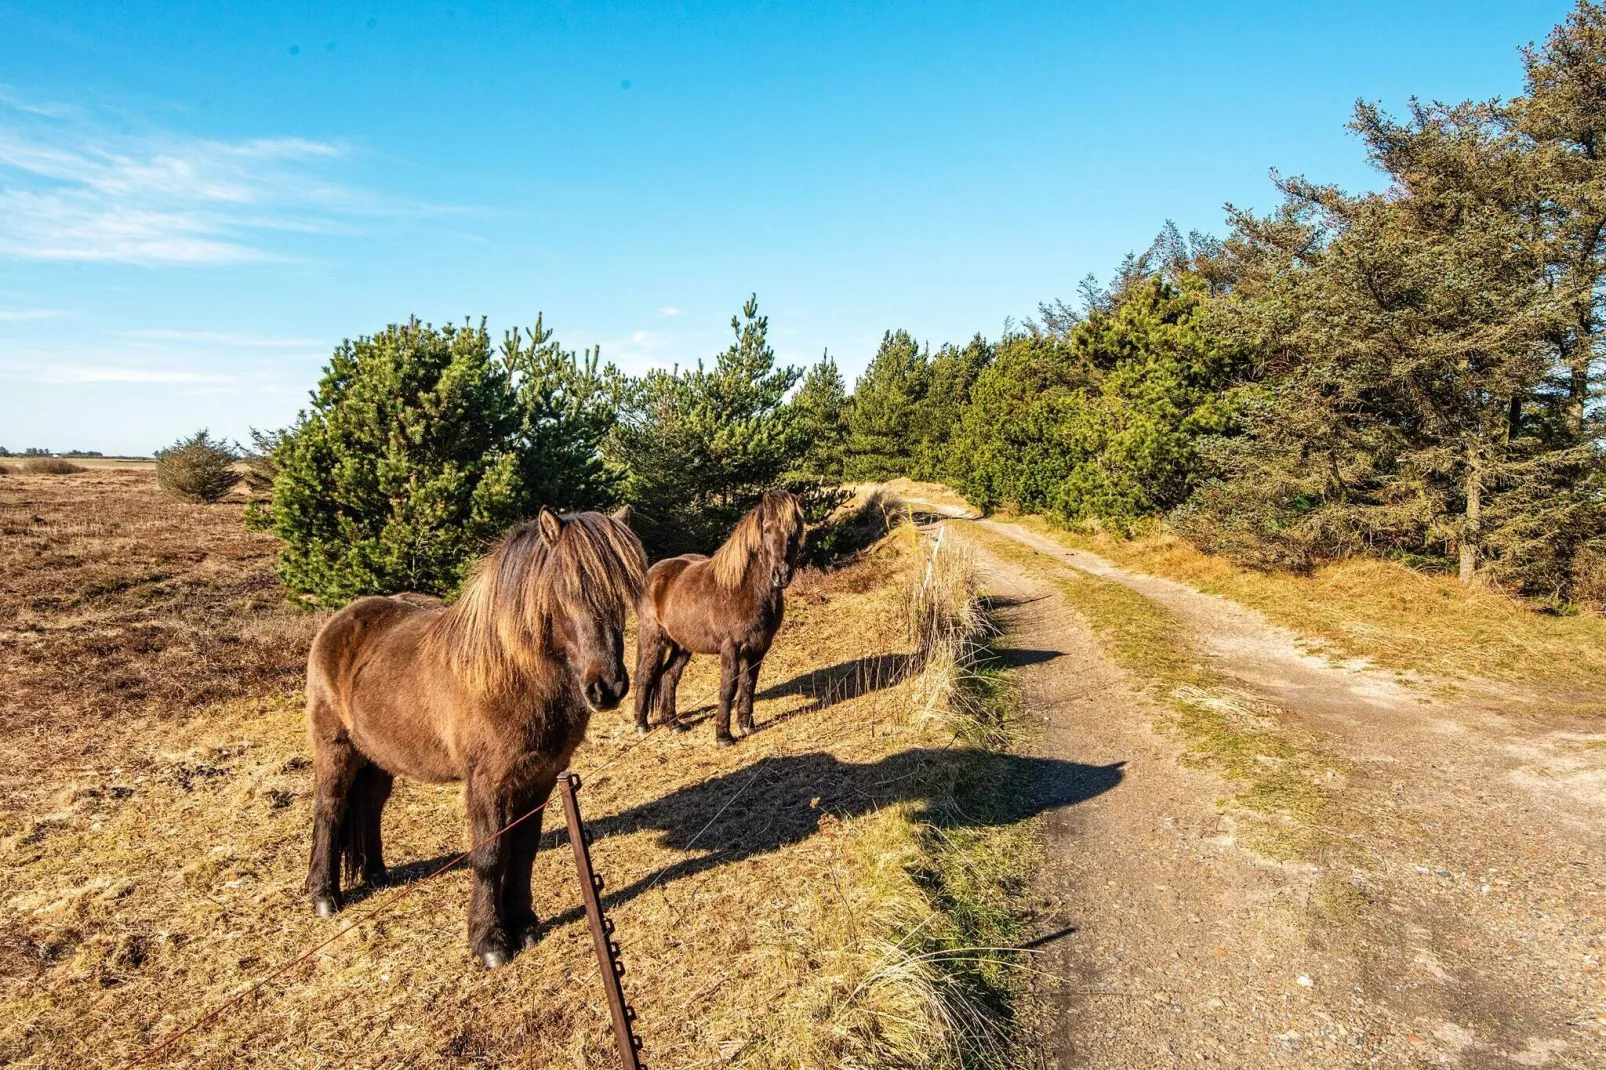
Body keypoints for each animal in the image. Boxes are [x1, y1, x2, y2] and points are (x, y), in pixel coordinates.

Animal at [303, 504, 642, 963]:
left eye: (620, 593)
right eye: (566, 590)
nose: (607, 687)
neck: (510, 676)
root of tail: (339, 621)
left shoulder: (538, 779)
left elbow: (524, 851)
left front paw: (525, 925)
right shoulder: (487, 782)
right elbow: (490, 854)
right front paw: (489, 942)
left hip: (377, 755)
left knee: (370, 805)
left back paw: (376, 876)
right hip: (335, 747)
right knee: (331, 807)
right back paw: (324, 895)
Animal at [626, 485, 803, 742]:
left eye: (795, 531)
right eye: (767, 530)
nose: (781, 575)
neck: (742, 589)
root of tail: (651, 572)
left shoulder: (758, 648)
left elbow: (749, 685)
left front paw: (747, 726)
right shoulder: (731, 647)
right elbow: (729, 687)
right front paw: (723, 736)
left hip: (682, 645)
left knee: (669, 676)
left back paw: (675, 724)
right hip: (653, 638)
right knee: (646, 676)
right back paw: (641, 724)